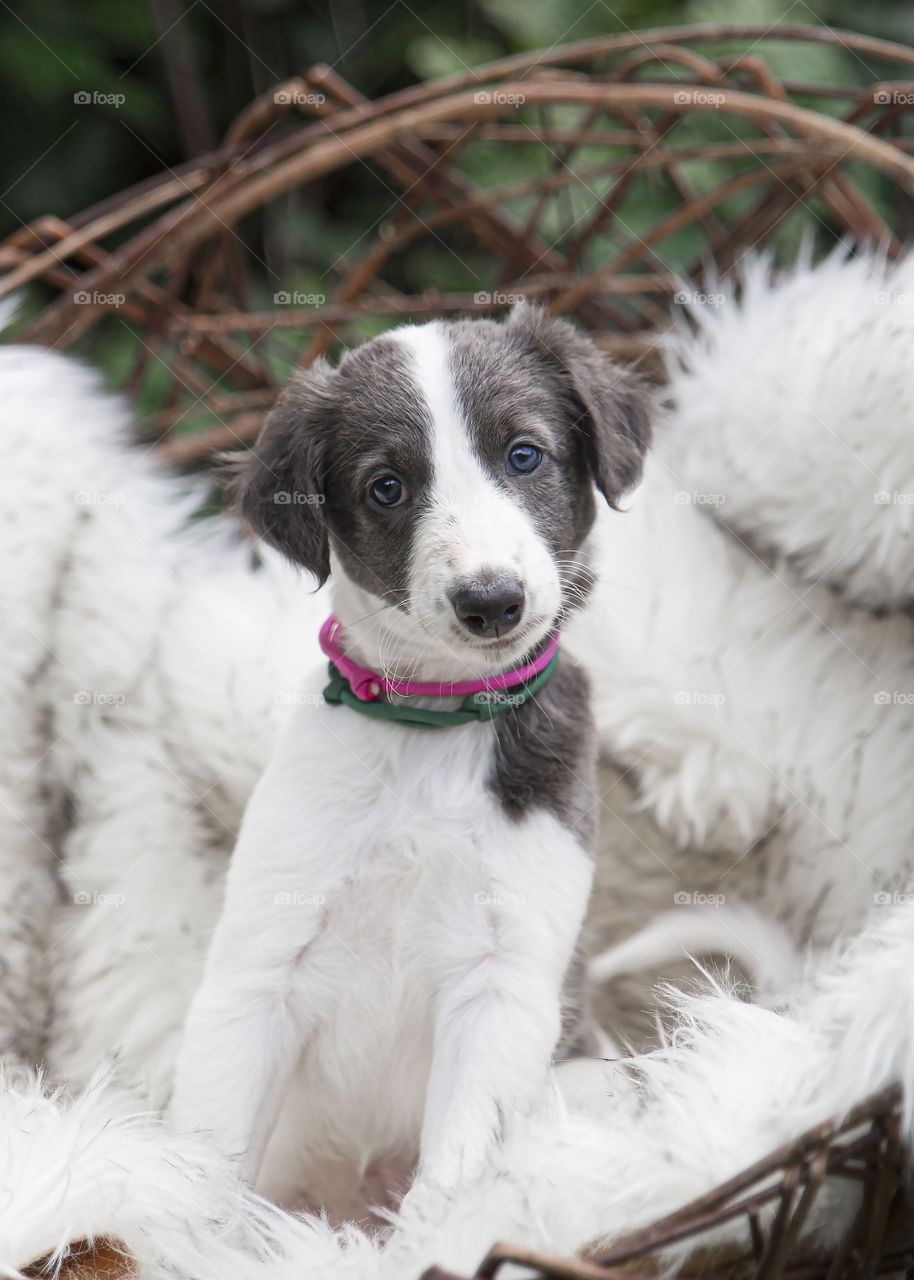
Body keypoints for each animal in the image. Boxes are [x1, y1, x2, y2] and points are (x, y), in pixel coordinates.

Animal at [165, 304, 647, 1213]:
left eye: (523, 454)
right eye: (386, 487)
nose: (491, 602)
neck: (433, 727)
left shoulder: (505, 981)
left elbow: (452, 1178)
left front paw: (434, 1233)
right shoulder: (260, 965)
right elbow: (206, 1162)